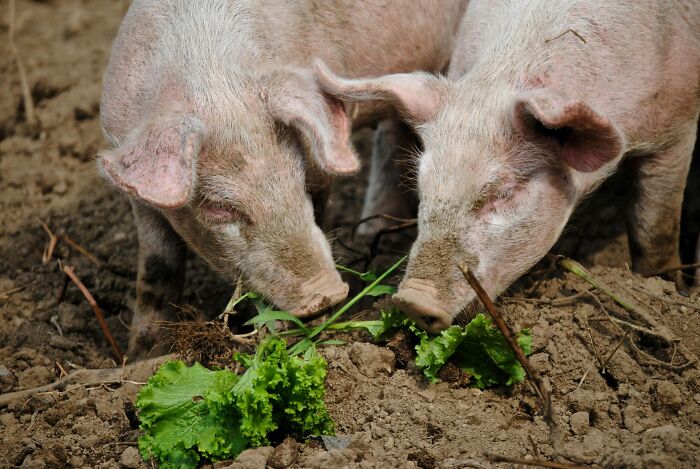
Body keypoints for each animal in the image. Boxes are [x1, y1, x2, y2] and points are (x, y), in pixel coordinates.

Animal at [99, 0, 467, 355]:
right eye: (219, 208)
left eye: (300, 182)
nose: (327, 293)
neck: (212, 78)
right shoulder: (138, 192)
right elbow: (157, 267)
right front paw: (142, 356)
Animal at [317, 0, 700, 332]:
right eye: (424, 187)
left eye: (504, 192)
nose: (412, 300)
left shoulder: (679, 129)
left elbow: (654, 230)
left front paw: (666, 286)